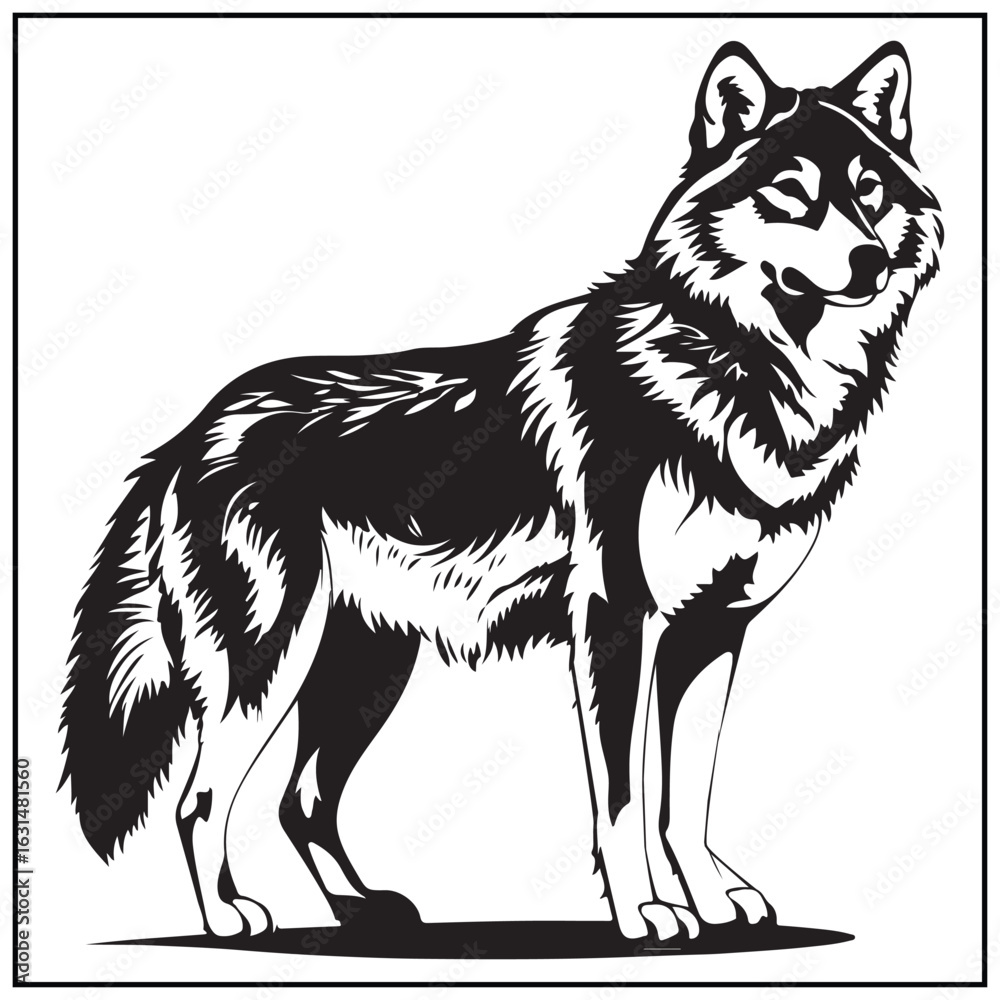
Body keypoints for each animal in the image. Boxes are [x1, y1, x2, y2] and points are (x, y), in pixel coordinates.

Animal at [60, 41, 942, 943]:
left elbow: (684, 797)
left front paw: (712, 899)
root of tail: (189, 432)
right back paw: (229, 917)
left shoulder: (712, 633)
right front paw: (647, 911)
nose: (871, 260)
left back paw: (364, 909)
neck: (734, 364)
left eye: (869, 192)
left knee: (301, 801)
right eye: (792, 192)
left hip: (365, 672)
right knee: (200, 802)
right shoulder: (617, 624)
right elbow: (624, 798)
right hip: (268, 666)